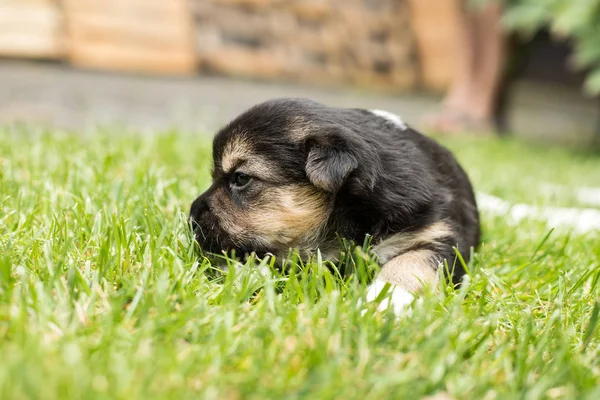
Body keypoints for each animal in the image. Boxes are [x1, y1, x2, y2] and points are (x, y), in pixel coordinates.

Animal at [190, 98, 480, 314]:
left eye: (240, 178)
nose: (190, 219)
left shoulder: (440, 236)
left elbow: (409, 262)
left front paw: (384, 301)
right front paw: (240, 273)